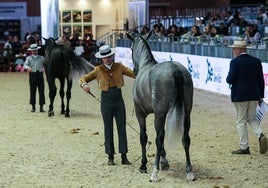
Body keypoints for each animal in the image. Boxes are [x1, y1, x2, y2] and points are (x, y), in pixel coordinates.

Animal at [125, 32, 195, 182]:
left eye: (131, 48)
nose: (134, 70)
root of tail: (176, 71)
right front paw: (164, 161)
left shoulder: (141, 113)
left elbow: (144, 137)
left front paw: (143, 165)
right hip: (186, 113)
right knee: (185, 138)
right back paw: (189, 172)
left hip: (160, 113)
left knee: (159, 138)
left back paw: (154, 173)